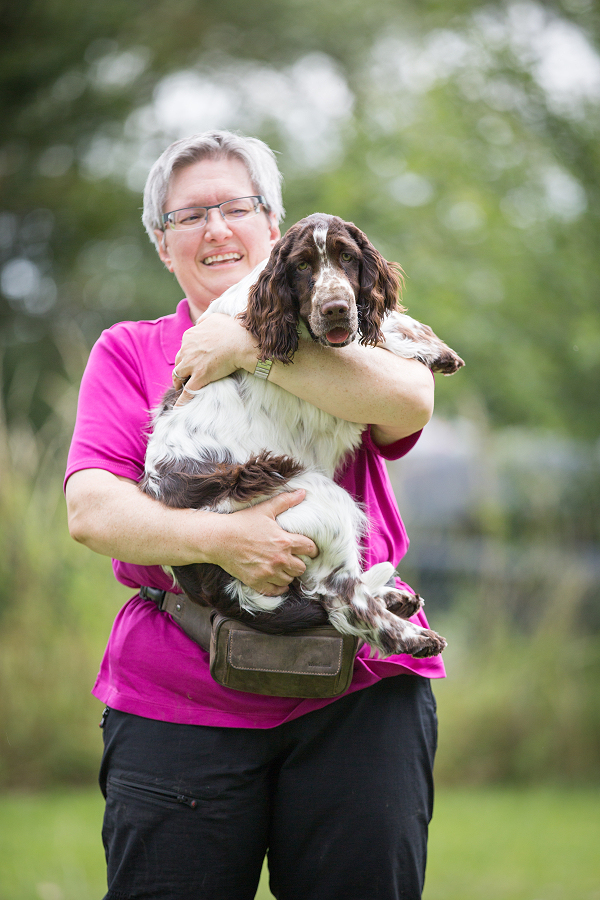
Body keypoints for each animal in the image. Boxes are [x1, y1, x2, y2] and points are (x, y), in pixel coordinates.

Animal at [141, 214, 464, 656]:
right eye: (302, 266)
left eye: (348, 257)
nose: (335, 309)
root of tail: (219, 587)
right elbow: (373, 339)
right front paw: (427, 347)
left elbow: (382, 321)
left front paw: (435, 347)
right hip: (317, 497)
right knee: (342, 600)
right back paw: (414, 636)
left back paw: (396, 599)